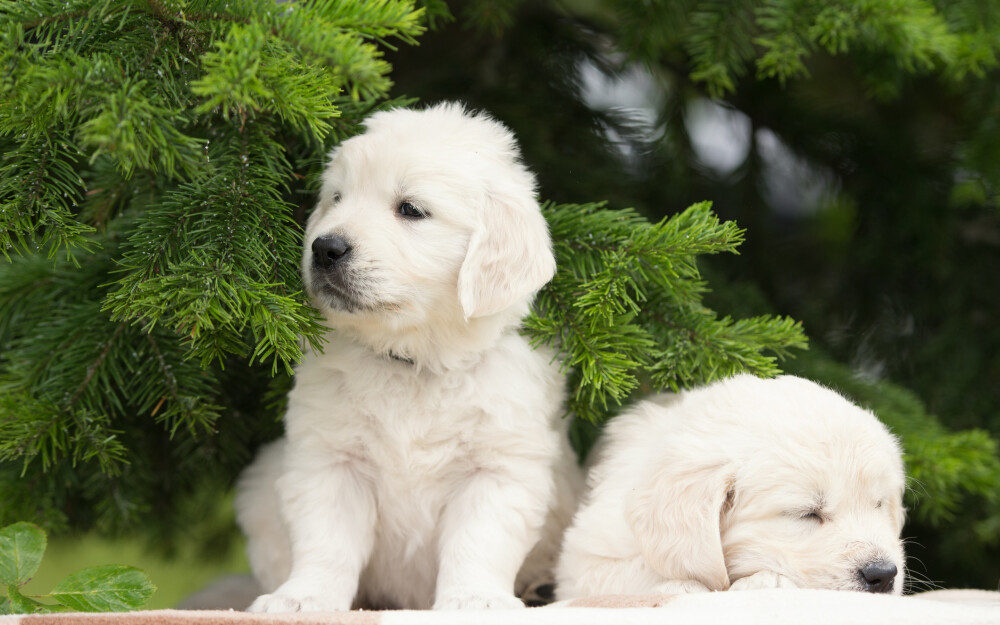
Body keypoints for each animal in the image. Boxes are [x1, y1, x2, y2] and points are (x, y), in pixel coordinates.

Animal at [236, 105, 580, 612]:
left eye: (410, 209)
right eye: (336, 198)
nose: (324, 247)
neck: (414, 361)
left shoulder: (498, 468)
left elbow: (476, 544)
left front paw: (474, 600)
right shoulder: (330, 460)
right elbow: (326, 543)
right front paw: (302, 598)